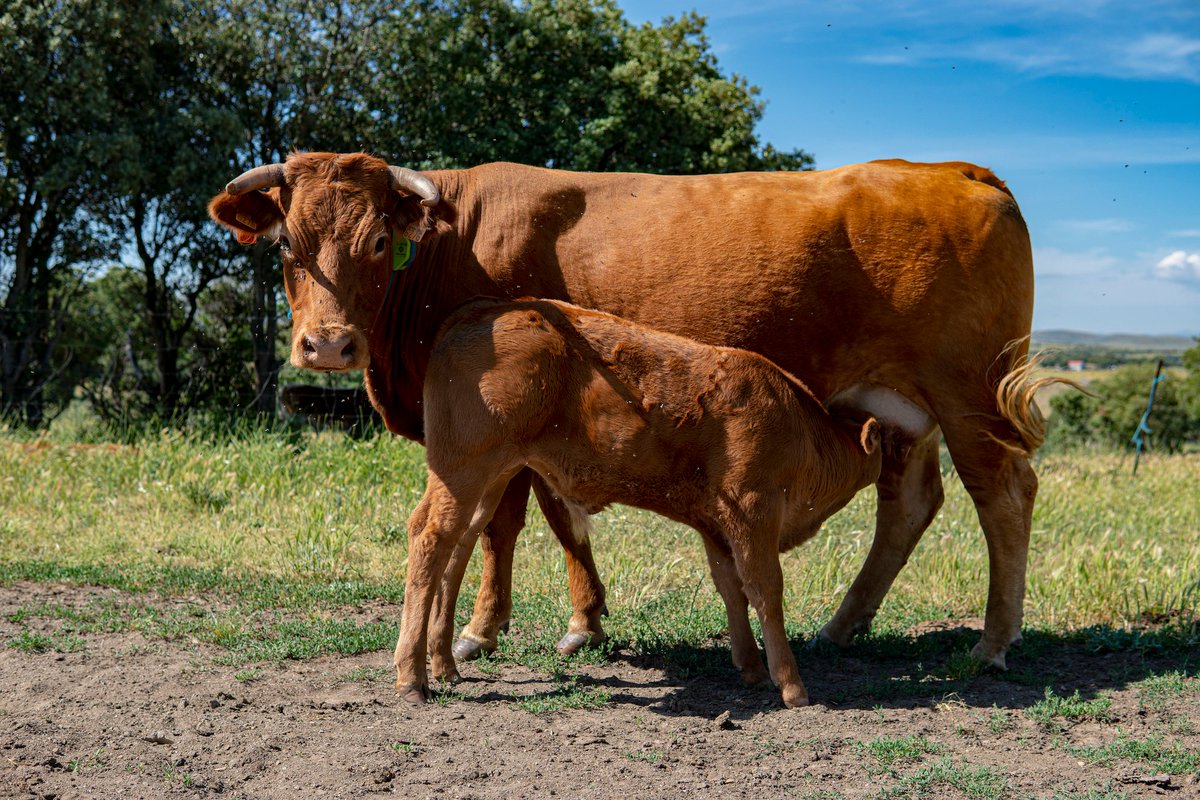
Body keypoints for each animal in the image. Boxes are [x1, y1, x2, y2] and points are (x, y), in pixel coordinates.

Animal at [396, 296, 883, 707]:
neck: (799, 426)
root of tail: (479, 312)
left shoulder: (715, 525)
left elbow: (732, 589)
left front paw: (751, 669)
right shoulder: (752, 512)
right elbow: (766, 590)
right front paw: (792, 687)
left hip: (490, 479)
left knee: (458, 547)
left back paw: (445, 666)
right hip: (466, 470)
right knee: (430, 537)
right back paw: (411, 679)